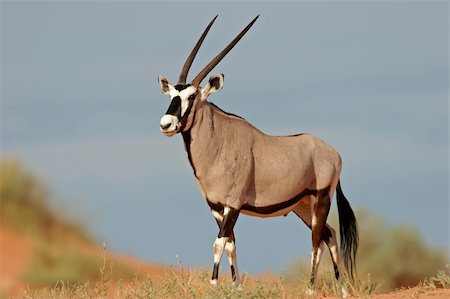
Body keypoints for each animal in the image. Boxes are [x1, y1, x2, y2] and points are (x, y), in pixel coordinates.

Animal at [158, 15, 358, 296]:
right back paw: (343, 291)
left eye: (192, 96)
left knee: (317, 239)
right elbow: (230, 243)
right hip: (302, 205)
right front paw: (237, 287)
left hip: (321, 198)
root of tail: (333, 152)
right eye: (171, 95)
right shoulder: (216, 207)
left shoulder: (233, 204)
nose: (166, 124)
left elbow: (219, 243)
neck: (219, 142)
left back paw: (311, 290)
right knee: (329, 234)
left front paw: (214, 284)